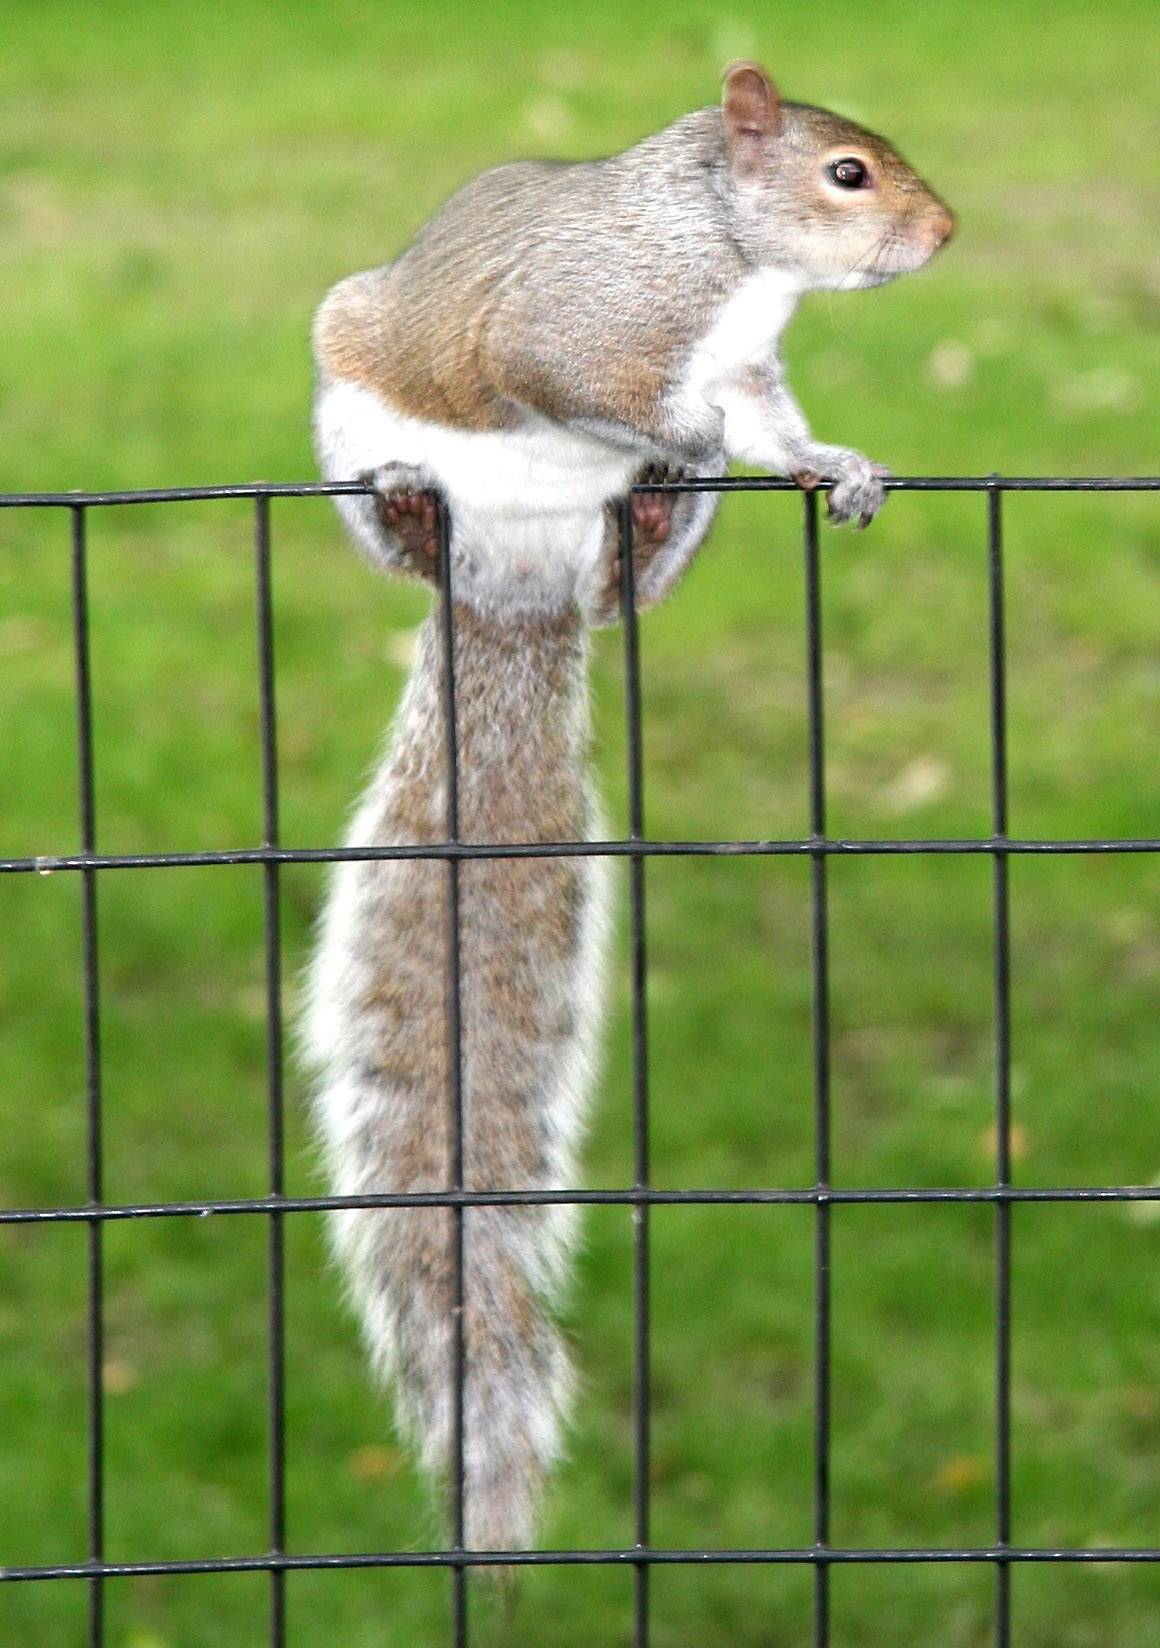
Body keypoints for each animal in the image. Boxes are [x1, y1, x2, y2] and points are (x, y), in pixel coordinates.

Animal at [308, 64, 949, 1549]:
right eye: (844, 172)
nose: (943, 234)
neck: (730, 264)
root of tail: (511, 578)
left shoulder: (750, 366)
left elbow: (769, 427)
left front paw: (839, 462)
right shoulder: (576, 328)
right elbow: (588, 382)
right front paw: (693, 429)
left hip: (628, 553)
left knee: (625, 591)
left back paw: (644, 525)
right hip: (352, 392)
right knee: (397, 524)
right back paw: (411, 511)